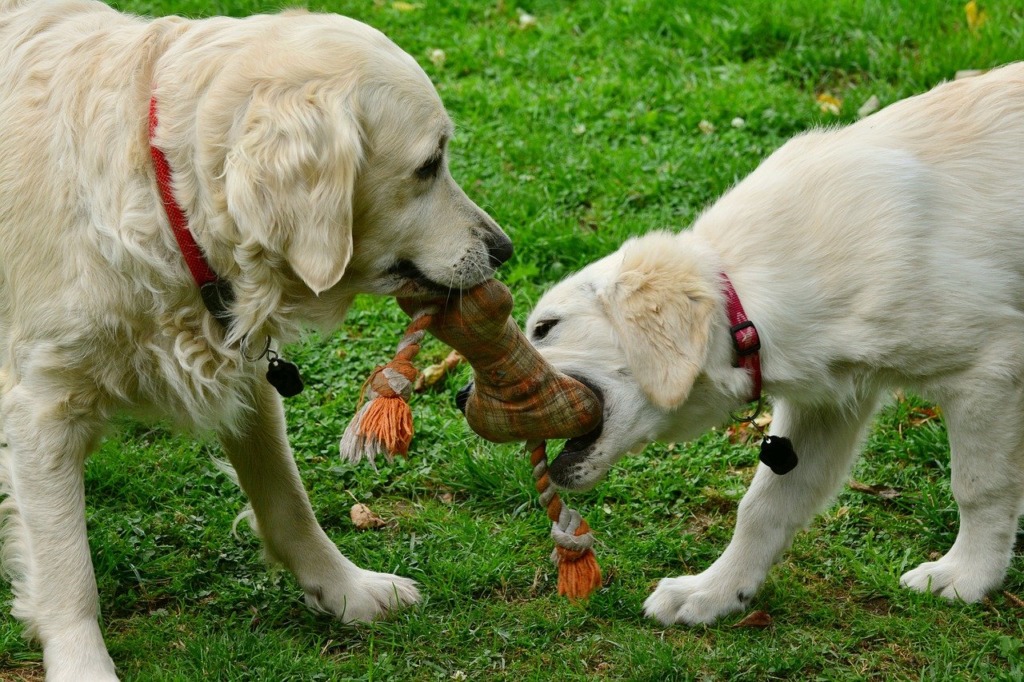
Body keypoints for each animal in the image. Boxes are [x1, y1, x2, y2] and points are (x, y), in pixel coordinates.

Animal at [0, 1, 512, 675]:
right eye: (429, 165)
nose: (504, 250)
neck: (164, 195)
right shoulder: (44, 407)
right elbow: (67, 570)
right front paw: (83, 667)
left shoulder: (248, 378)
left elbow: (288, 501)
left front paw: (347, 589)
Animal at [528, 62, 1024, 622]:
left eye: (546, 326)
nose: (473, 396)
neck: (745, 302)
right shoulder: (828, 404)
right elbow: (764, 506)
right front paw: (715, 592)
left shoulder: (987, 367)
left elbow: (980, 487)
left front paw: (968, 577)